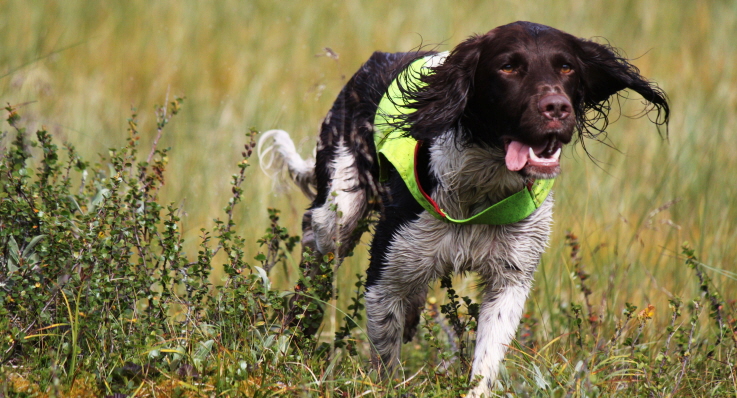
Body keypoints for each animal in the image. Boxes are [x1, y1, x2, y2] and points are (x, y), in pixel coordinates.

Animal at [258, 20, 668, 394]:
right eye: (508, 67)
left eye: (566, 67)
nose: (557, 108)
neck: (480, 190)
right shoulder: (385, 274)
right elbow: (385, 356)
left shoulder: (510, 279)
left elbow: (486, 360)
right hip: (339, 211)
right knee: (314, 248)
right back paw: (295, 329)